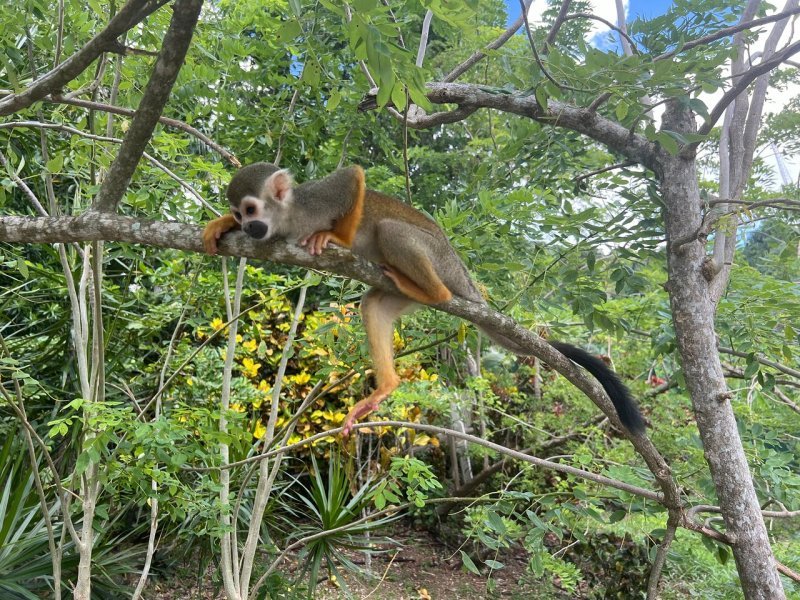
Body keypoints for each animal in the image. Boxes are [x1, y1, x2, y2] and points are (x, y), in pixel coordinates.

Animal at [203, 163, 646, 436]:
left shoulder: (315, 199)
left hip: (437, 259)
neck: (288, 219)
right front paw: (218, 226)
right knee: (374, 305)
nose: (249, 226)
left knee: (391, 230)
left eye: (251, 209)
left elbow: (352, 178)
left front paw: (335, 238)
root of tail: (460, 274)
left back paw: (433, 290)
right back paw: (386, 385)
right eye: (240, 214)